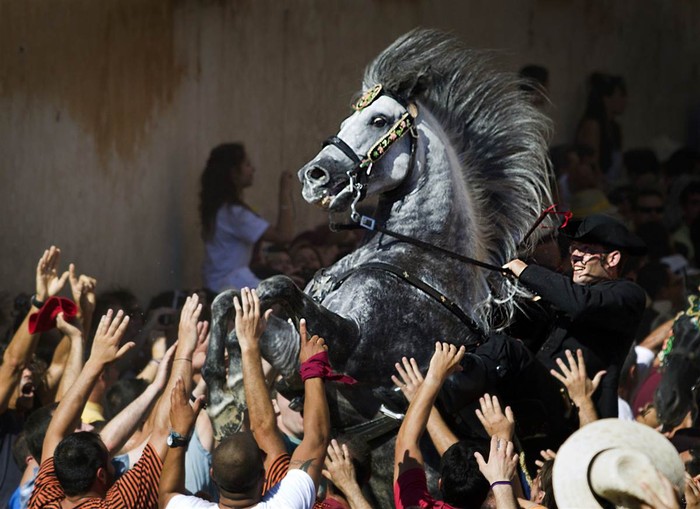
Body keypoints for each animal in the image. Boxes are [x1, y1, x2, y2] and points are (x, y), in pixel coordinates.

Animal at [201, 27, 552, 504]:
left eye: (380, 121)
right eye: (345, 122)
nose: (313, 176)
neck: (414, 257)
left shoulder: (349, 345)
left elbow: (277, 286)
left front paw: (228, 392)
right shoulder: (296, 346)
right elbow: (230, 298)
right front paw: (222, 395)